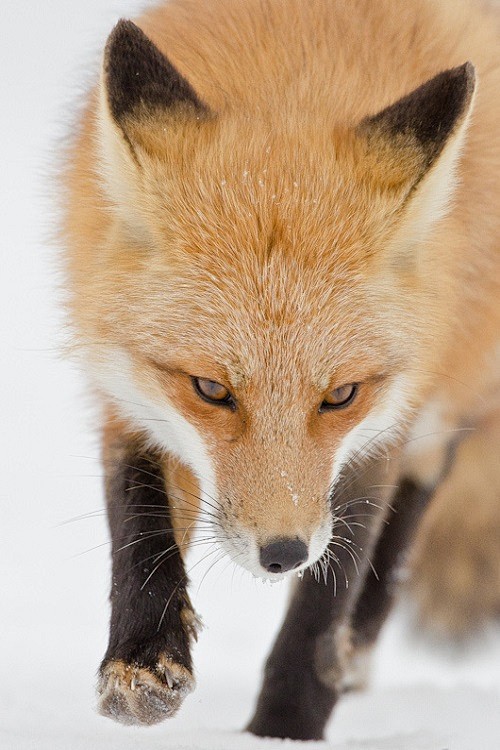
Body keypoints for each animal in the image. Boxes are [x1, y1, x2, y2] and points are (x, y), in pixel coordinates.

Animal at [63, 0, 500, 740]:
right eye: (211, 389)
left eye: (342, 394)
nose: (283, 554)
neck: (300, 68)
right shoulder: (125, 383)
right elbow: (139, 516)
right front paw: (140, 660)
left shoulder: (391, 414)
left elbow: (330, 588)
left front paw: (286, 727)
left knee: (419, 496)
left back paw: (356, 654)